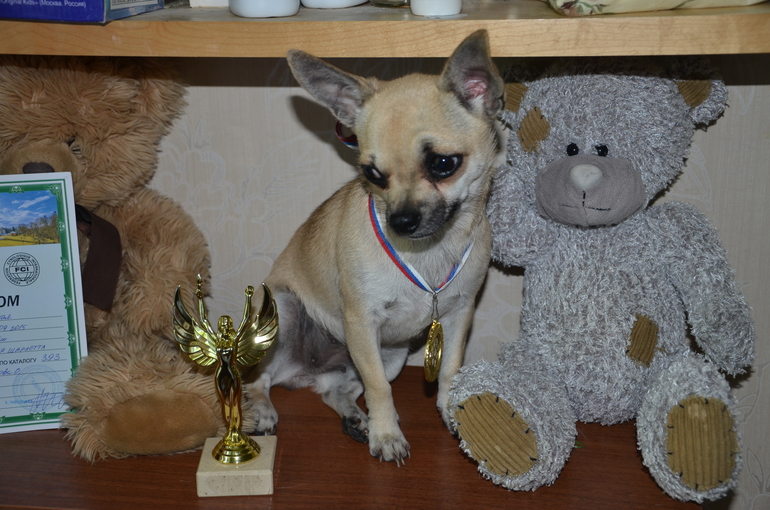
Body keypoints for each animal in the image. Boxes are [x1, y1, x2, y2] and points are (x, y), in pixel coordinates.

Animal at [246, 30, 507, 465]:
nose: (401, 220)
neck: (428, 252)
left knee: (336, 390)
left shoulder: (458, 317)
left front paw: (450, 410)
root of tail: (303, 372)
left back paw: (355, 418)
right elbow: (380, 390)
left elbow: (449, 370)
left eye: (443, 164)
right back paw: (264, 411)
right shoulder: (362, 323)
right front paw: (387, 436)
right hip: (281, 316)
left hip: (392, 355)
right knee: (256, 380)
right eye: (372, 174)